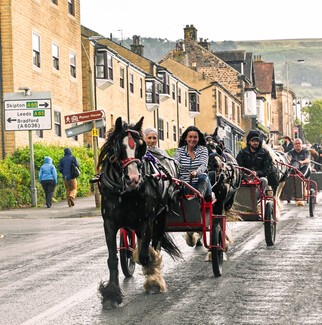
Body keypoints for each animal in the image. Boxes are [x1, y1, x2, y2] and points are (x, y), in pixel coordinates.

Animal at [95, 116, 181, 306]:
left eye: (141, 147)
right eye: (117, 147)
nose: (133, 179)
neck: (126, 193)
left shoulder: (147, 220)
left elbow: (145, 256)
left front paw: (153, 280)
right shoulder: (109, 222)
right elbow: (113, 259)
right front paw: (111, 293)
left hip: (160, 218)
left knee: (155, 244)